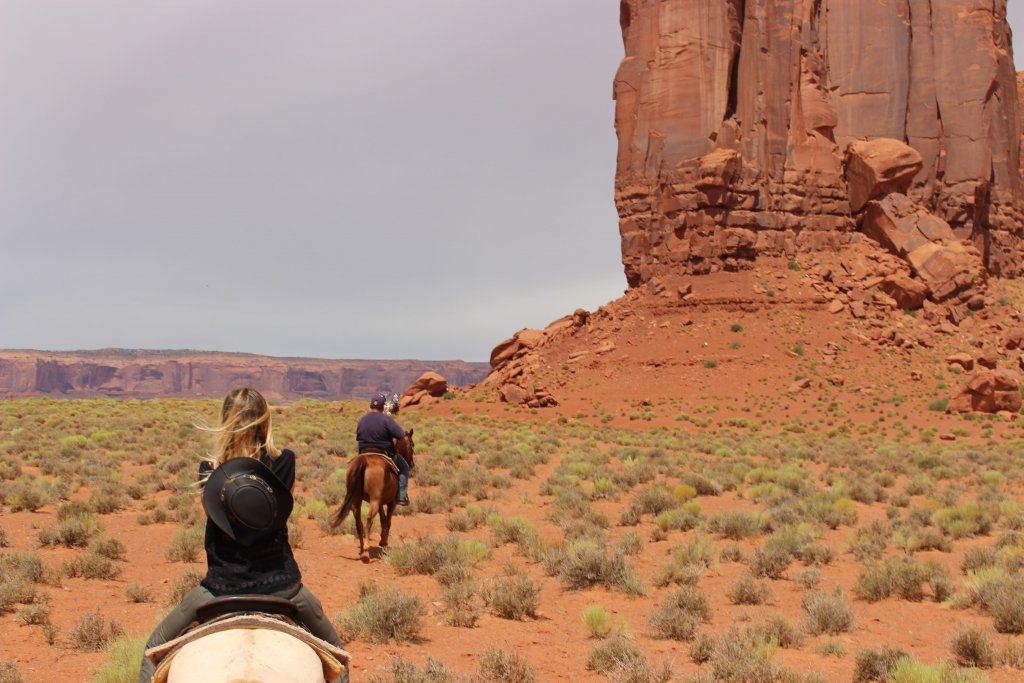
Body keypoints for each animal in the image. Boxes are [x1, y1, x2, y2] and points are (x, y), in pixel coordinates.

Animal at [329, 430, 413, 565]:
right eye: (412, 445)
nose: (411, 464)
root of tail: (363, 460)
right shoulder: (391, 503)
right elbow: (387, 521)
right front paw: (384, 544)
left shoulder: (380, 503)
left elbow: (383, 520)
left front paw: (382, 541)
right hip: (374, 501)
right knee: (368, 520)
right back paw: (366, 551)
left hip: (357, 500)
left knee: (358, 522)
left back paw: (362, 549)